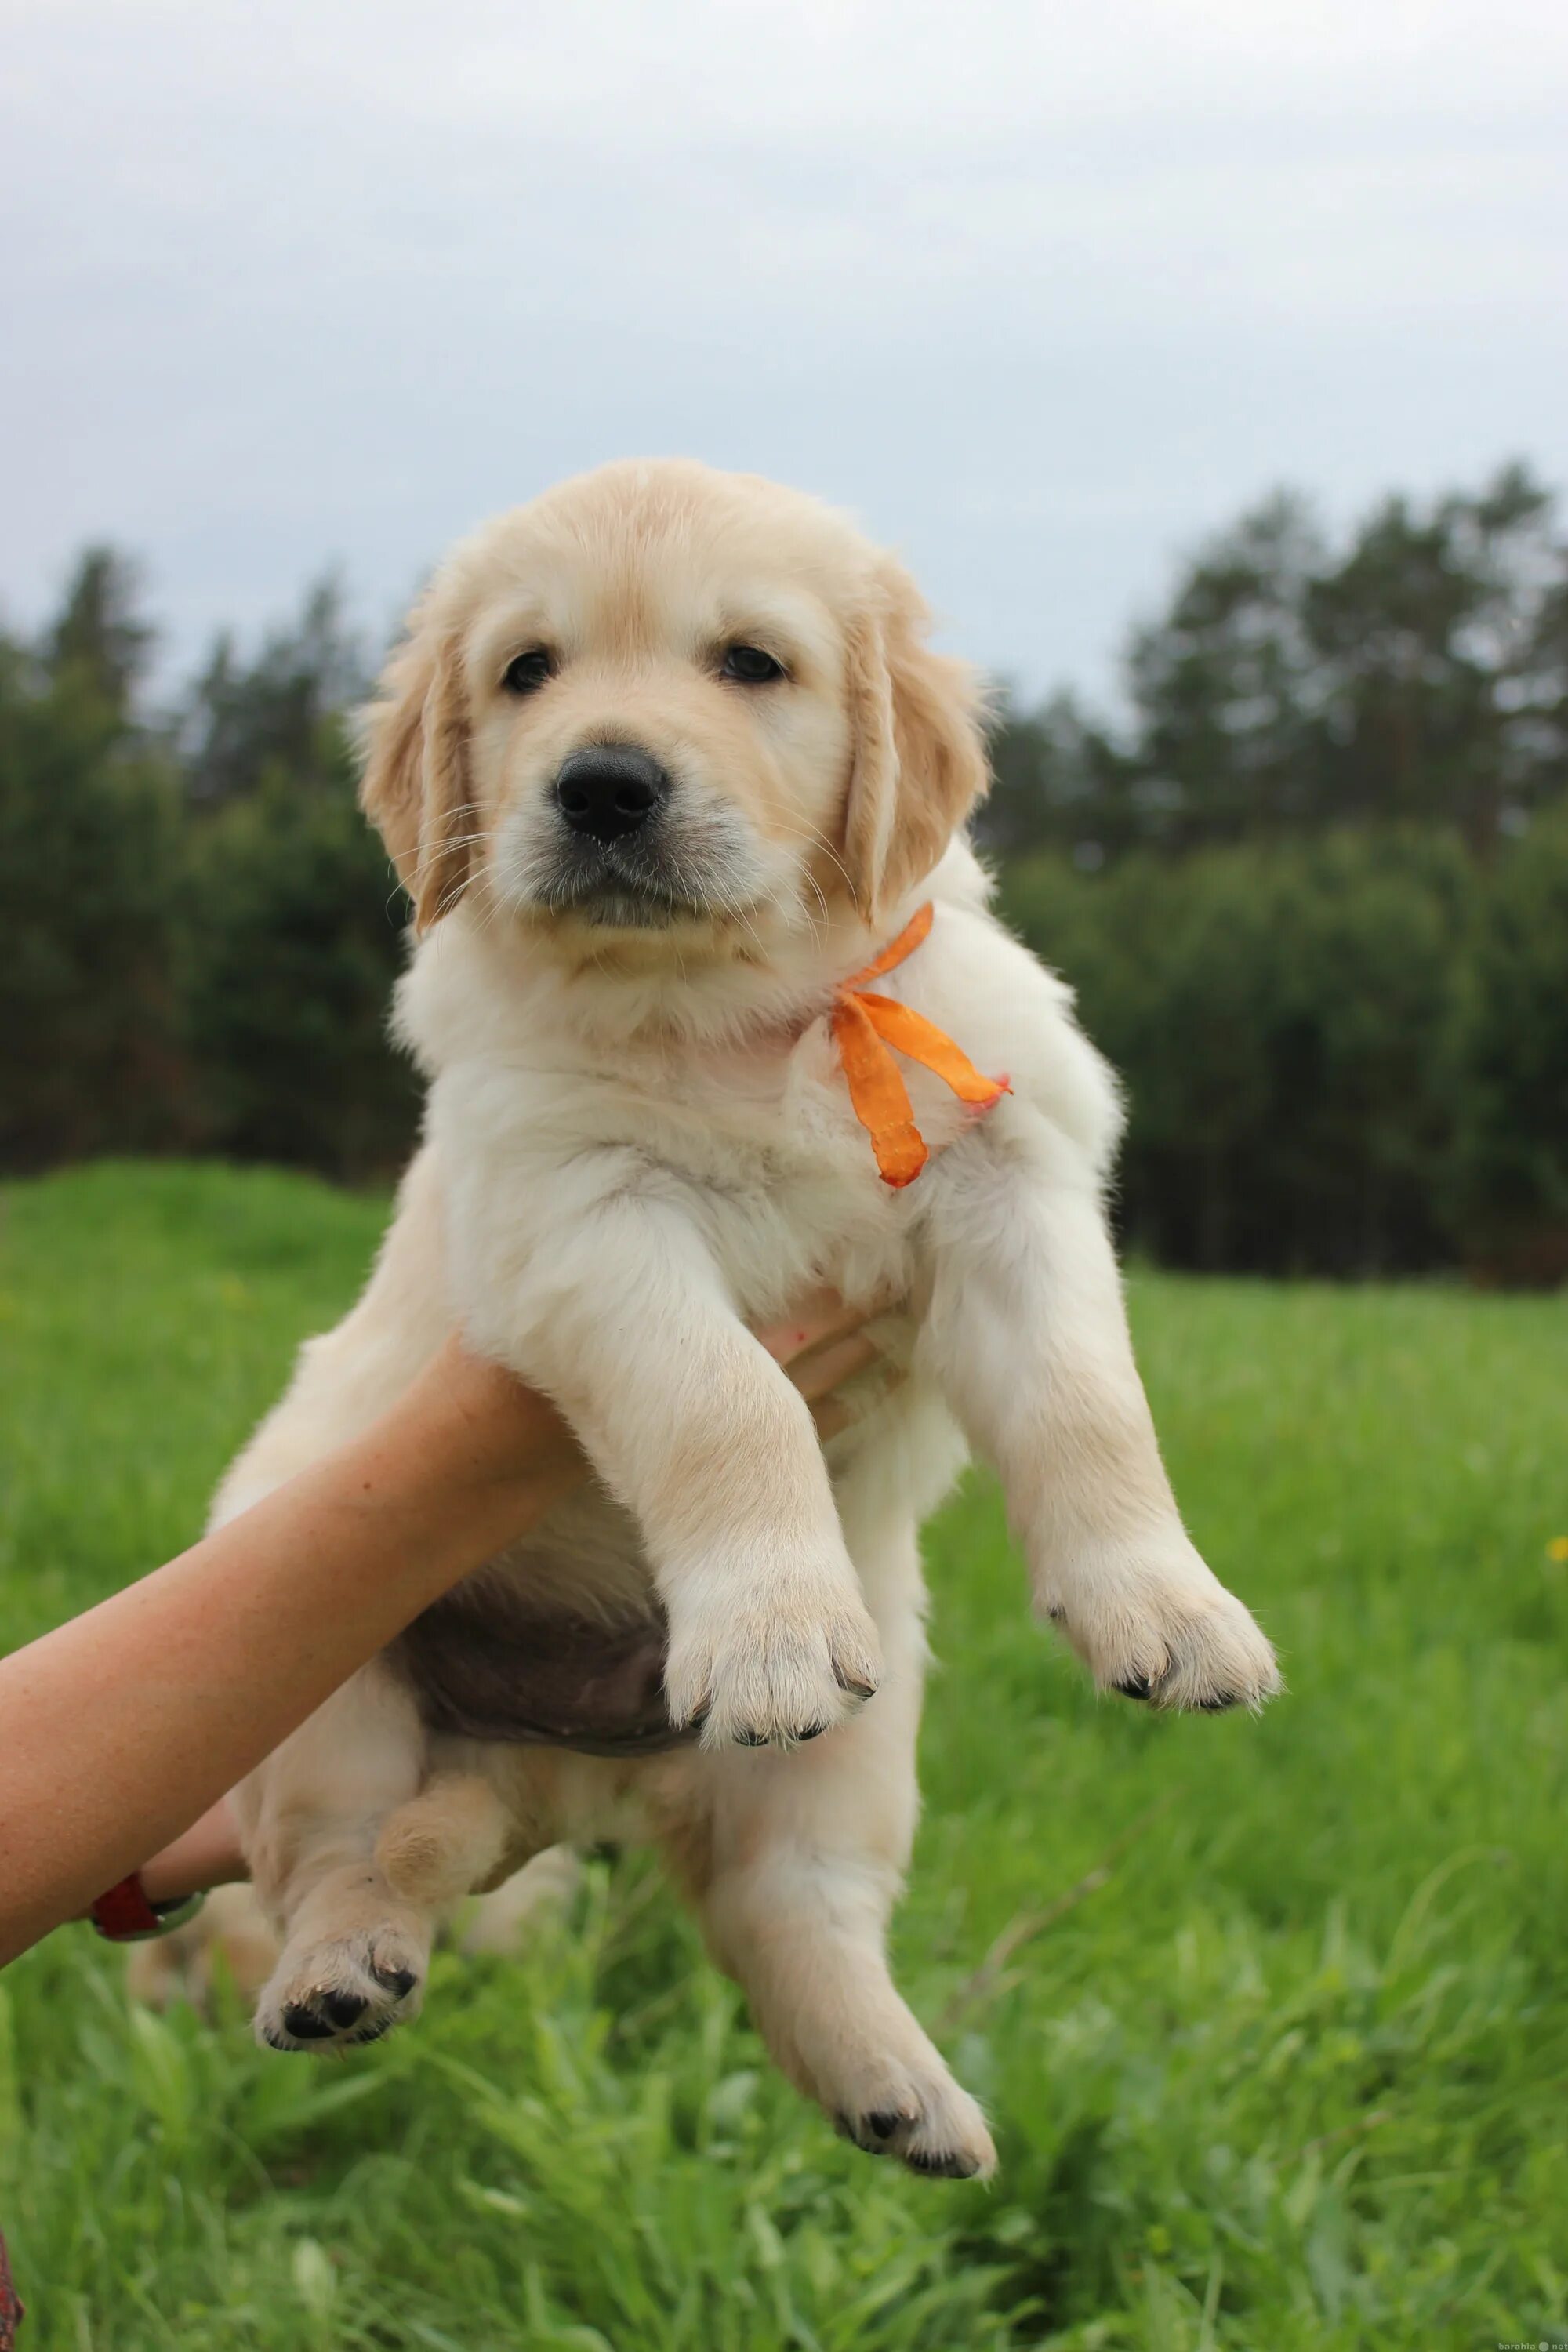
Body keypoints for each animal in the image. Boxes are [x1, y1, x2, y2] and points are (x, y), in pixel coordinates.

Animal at [217, 463, 1279, 2183]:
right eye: (527, 672)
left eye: (751, 665)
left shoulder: (1016, 1179)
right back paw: (336, 1970)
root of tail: (557, 1772)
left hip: (875, 1720)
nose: (601, 785)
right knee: (334, 1849)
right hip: (313, 1650)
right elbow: (729, 1400)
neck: (743, 1011)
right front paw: (769, 1629)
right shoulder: (584, 1216)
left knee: (790, 1906)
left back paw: (896, 2088)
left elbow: (1084, 1398)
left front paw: (1167, 1607)